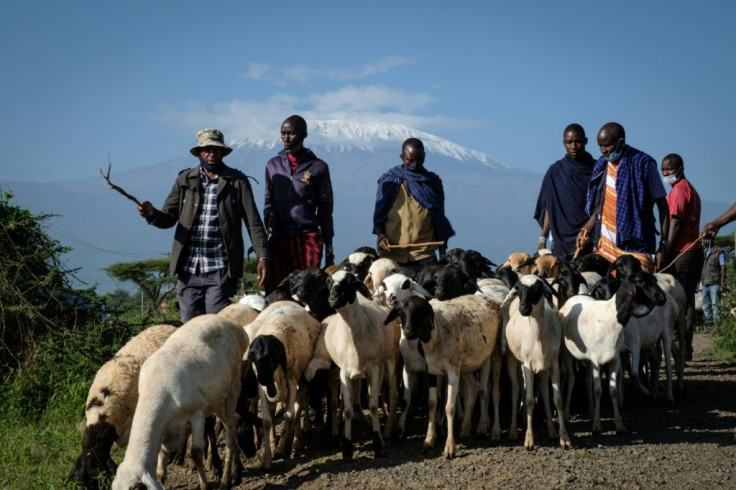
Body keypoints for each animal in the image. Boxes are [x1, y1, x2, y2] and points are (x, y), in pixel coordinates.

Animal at [110, 314, 246, 490]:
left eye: (136, 488)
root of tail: (234, 324)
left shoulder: (197, 414)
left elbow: (196, 454)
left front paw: (204, 485)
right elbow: (161, 460)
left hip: (232, 387)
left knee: (230, 428)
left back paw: (226, 479)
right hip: (215, 399)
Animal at [246, 300, 320, 468]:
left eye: (272, 355)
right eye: (252, 356)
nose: (263, 378)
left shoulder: (292, 382)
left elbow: (290, 415)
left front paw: (282, 447)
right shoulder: (262, 389)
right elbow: (267, 420)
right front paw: (267, 458)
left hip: (301, 377)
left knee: (300, 406)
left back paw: (297, 440)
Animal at [382, 294, 504, 460]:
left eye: (421, 311)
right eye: (399, 311)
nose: (409, 332)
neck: (435, 336)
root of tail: (488, 299)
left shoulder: (452, 371)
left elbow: (449, 407)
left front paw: (450, 448)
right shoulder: (431, 371)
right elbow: (432, 403)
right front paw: (429, 440)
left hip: (494, 352)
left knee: (493, 392)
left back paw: (492, 430)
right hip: (465, 366)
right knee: (474, 387)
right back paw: (465, 428)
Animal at [504, 274, 572, 450]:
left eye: (537, 288)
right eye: (518, 289)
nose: (523, 308)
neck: (538, 336)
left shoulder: (553, 364)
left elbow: (557, 399)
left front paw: (564, 438)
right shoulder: (527, 365)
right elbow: (528, 400)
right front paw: (529, 440)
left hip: (542, 368)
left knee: (543, 390)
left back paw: (551, 431)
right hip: (512, 359)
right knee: (515, 390)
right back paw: (513, 431)